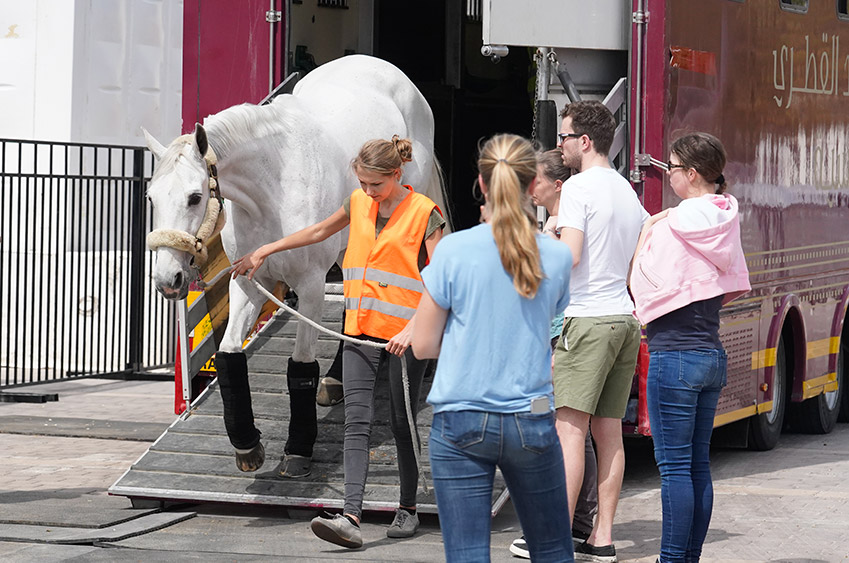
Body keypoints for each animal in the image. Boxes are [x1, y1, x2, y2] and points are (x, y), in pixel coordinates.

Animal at [142, 54, 448, 476]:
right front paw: (247, 446)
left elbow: (301, 364)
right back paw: (336, 380)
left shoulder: (311, 284)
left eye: (194, 197)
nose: (167, 278)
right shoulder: (248, 282)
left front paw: (299, 448)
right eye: (151, 196)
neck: (273, 188)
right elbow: (229, 355)